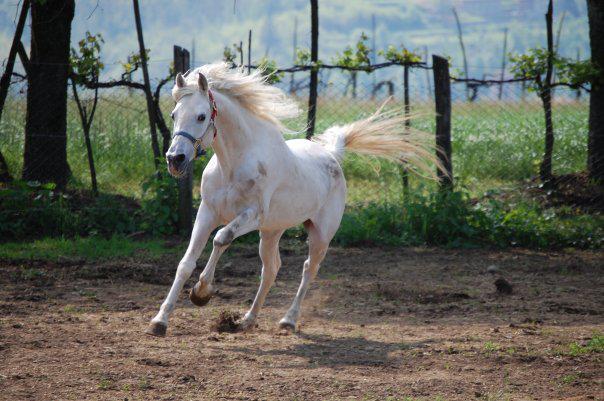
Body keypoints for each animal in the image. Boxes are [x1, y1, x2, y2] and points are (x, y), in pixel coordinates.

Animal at [146, 62, 438, 336]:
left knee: (309, 268)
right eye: (174, 114)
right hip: (272, 231)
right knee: (271, 269)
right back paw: (246, 320)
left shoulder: (252, 216)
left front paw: (201, 293)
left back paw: (288, 320)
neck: (233, 164)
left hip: (320, 234)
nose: (175, 159)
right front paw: (159, 321)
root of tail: (333, 154)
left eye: (201, 116)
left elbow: (221, 238)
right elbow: (186, 263)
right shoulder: (207, 213)